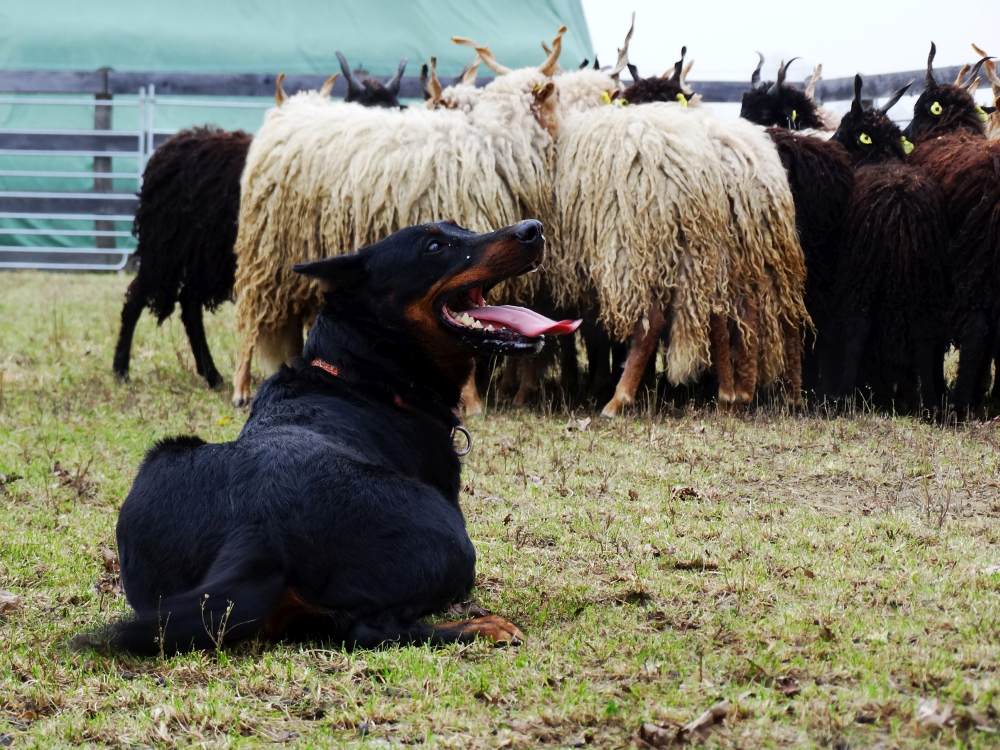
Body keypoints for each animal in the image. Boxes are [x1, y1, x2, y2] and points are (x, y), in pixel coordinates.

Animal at [93, 220, 584, 656]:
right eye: (433, 247)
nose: (533, 229)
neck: (363, 370)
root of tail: (258, 528)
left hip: (166, 460)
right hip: (452, 542)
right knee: (371, 630)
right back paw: (484, 627)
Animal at [229, 35, 568, 408]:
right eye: (555, 95)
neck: (496, 137)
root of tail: (287, 109)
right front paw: (473, 401)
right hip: (265, 250)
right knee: (250, 319)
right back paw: (240, 388)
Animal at [816, 75, 948, 418]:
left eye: (844, 130)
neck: (880, 156)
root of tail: (900, 207)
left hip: (862, 277)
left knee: (857, 327)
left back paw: (842, 399)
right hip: (926, 283)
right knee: (926, 335)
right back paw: (930, 405)